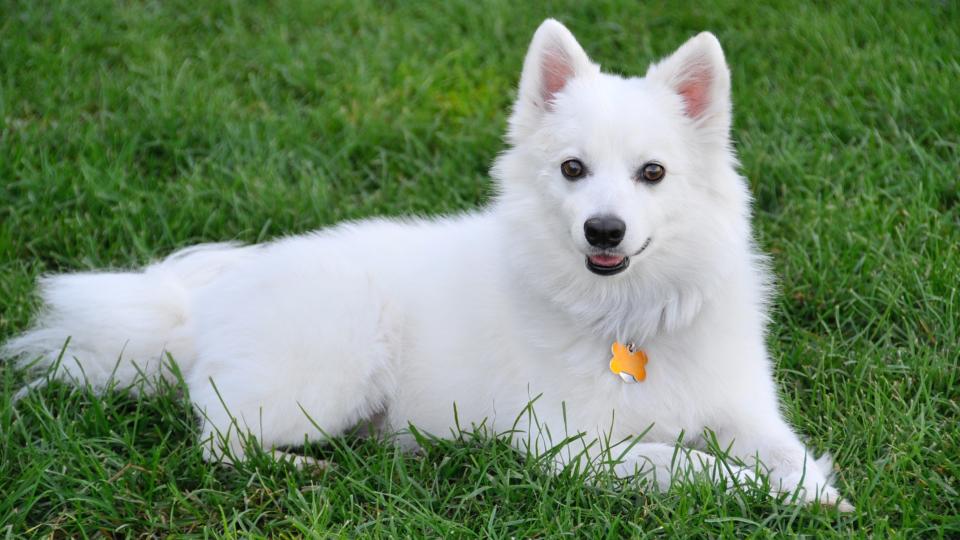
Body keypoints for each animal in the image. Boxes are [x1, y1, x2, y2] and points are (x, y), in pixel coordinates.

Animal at [5, 20, 848, 510]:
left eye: (653, 174)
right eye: (574, 169)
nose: (603, 229)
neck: (628, 315)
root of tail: (199, 311)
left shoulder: (745, 409)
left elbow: (785, 450)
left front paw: (811, 488)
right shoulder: (573, 446)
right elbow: (695, 465)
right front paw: (773, 492)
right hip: (334, 371)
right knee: (220, 441)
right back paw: (301, 469)